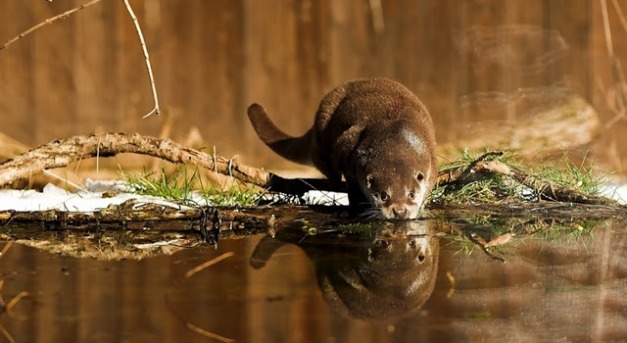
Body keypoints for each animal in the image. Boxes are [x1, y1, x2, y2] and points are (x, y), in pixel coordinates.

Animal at [247, 77, 436, 220]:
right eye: (384, 195)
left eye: (411, 194)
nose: (400, 212)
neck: (393, 138)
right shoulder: (346, 147)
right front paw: (357, 204)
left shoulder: (431, 163)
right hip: (323, 128)